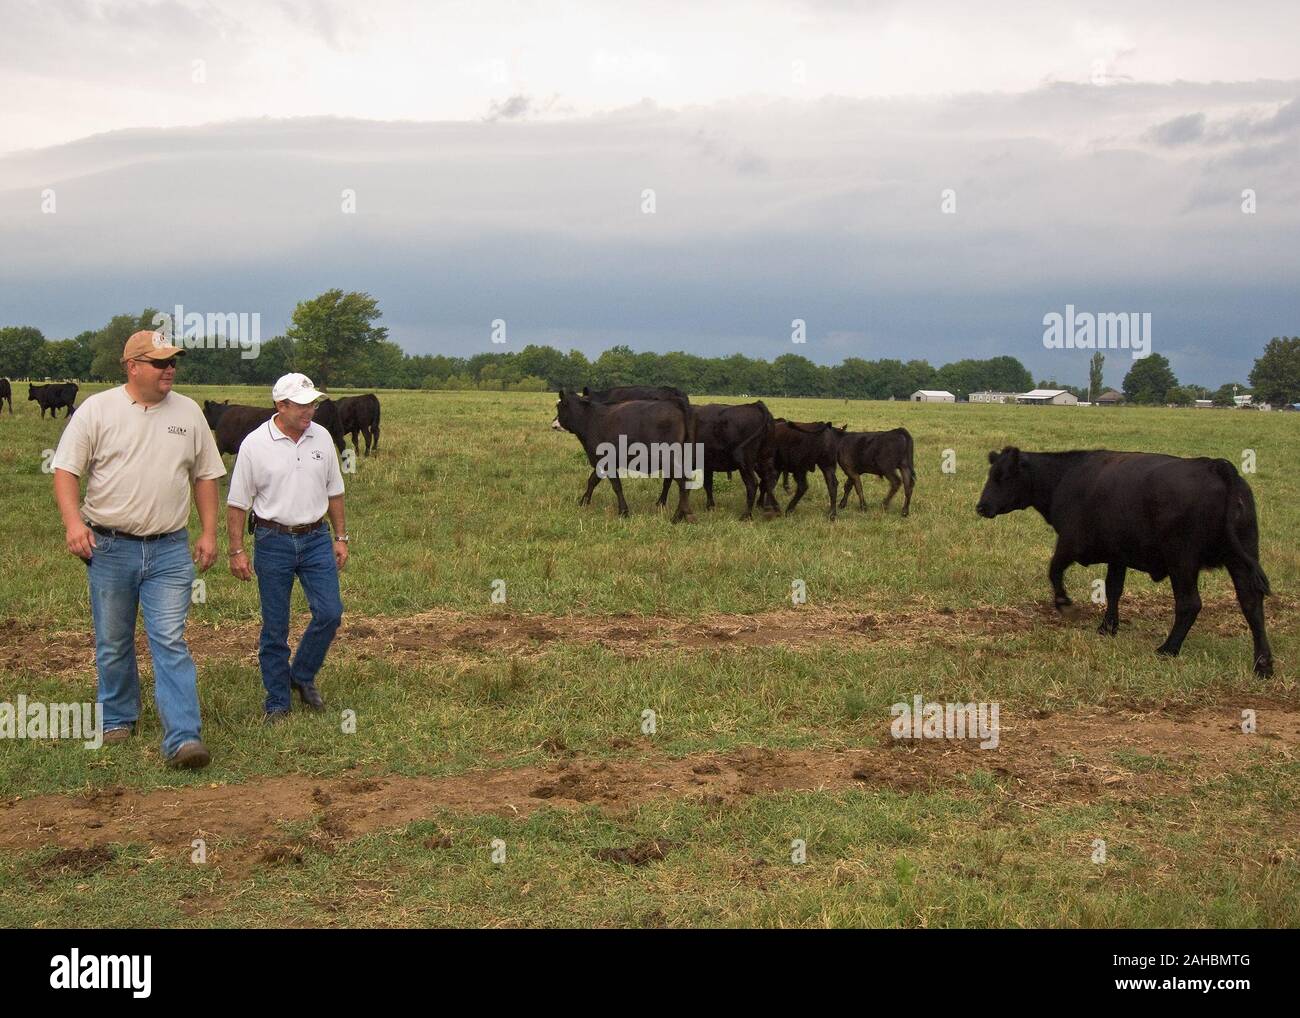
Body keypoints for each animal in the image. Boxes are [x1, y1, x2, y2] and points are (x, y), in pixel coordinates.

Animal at [559, 387, 702, 522]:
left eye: (559, 408)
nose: (555, 423)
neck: (591, 418)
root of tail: (674, 402)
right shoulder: (603, 462)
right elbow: (593, 480)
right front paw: (584, 502)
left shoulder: (605, 461)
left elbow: (616, 486)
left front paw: (623, 511)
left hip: (667, 458)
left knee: (682, 480)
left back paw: (680, 514)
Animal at [977, 447, 1268, 676]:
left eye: (1003, 477)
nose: (981, 506)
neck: (1064, 478)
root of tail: (1216, 466)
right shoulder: (1117, 556)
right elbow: (1113, 588)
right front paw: (1108, 627)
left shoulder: (1070, 544)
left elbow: (1054, 571)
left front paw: (1065, 605)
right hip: (1241, 558)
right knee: (1251, 604)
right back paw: (1263, 664)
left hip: (1182, 561)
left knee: (1189, 604)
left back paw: (1168, 649)